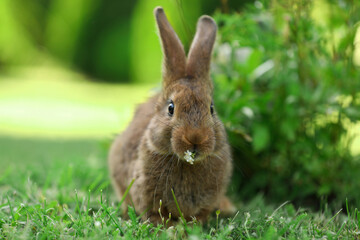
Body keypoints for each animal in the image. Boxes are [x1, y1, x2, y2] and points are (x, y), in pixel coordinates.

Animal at [108, 6, 235, 224]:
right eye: (171, 108)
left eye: (211, 108)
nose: (195, 137)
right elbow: (153, 216)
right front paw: (171, 228)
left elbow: (200, 217)